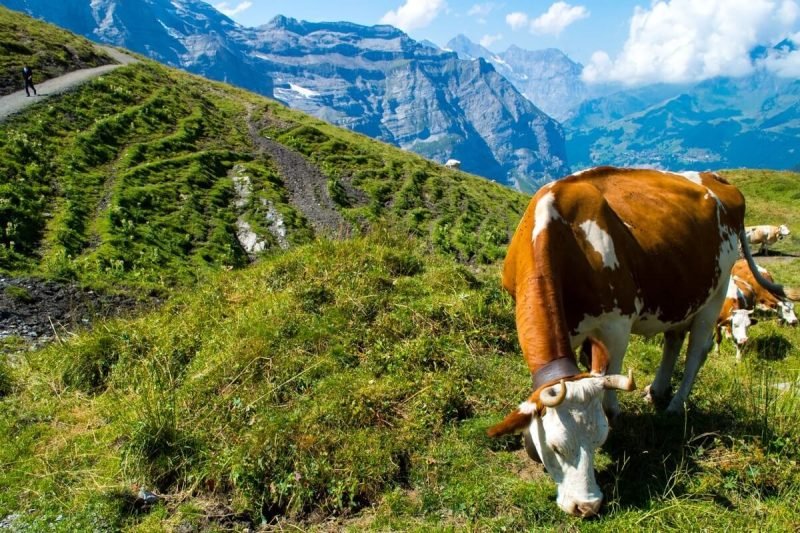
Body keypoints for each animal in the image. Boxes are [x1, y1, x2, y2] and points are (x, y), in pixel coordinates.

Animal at [484, 166, 796, 516]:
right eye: (555, 447)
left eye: (599, 440)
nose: (587, 505)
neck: (562, 236)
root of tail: (715, 178)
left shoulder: (616, 327)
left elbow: (608, 385)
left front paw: (616, 418)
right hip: (679, 294)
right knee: (673, 339)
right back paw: (657, 391)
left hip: (716, 292)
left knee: (696, 351)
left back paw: (673, 407)